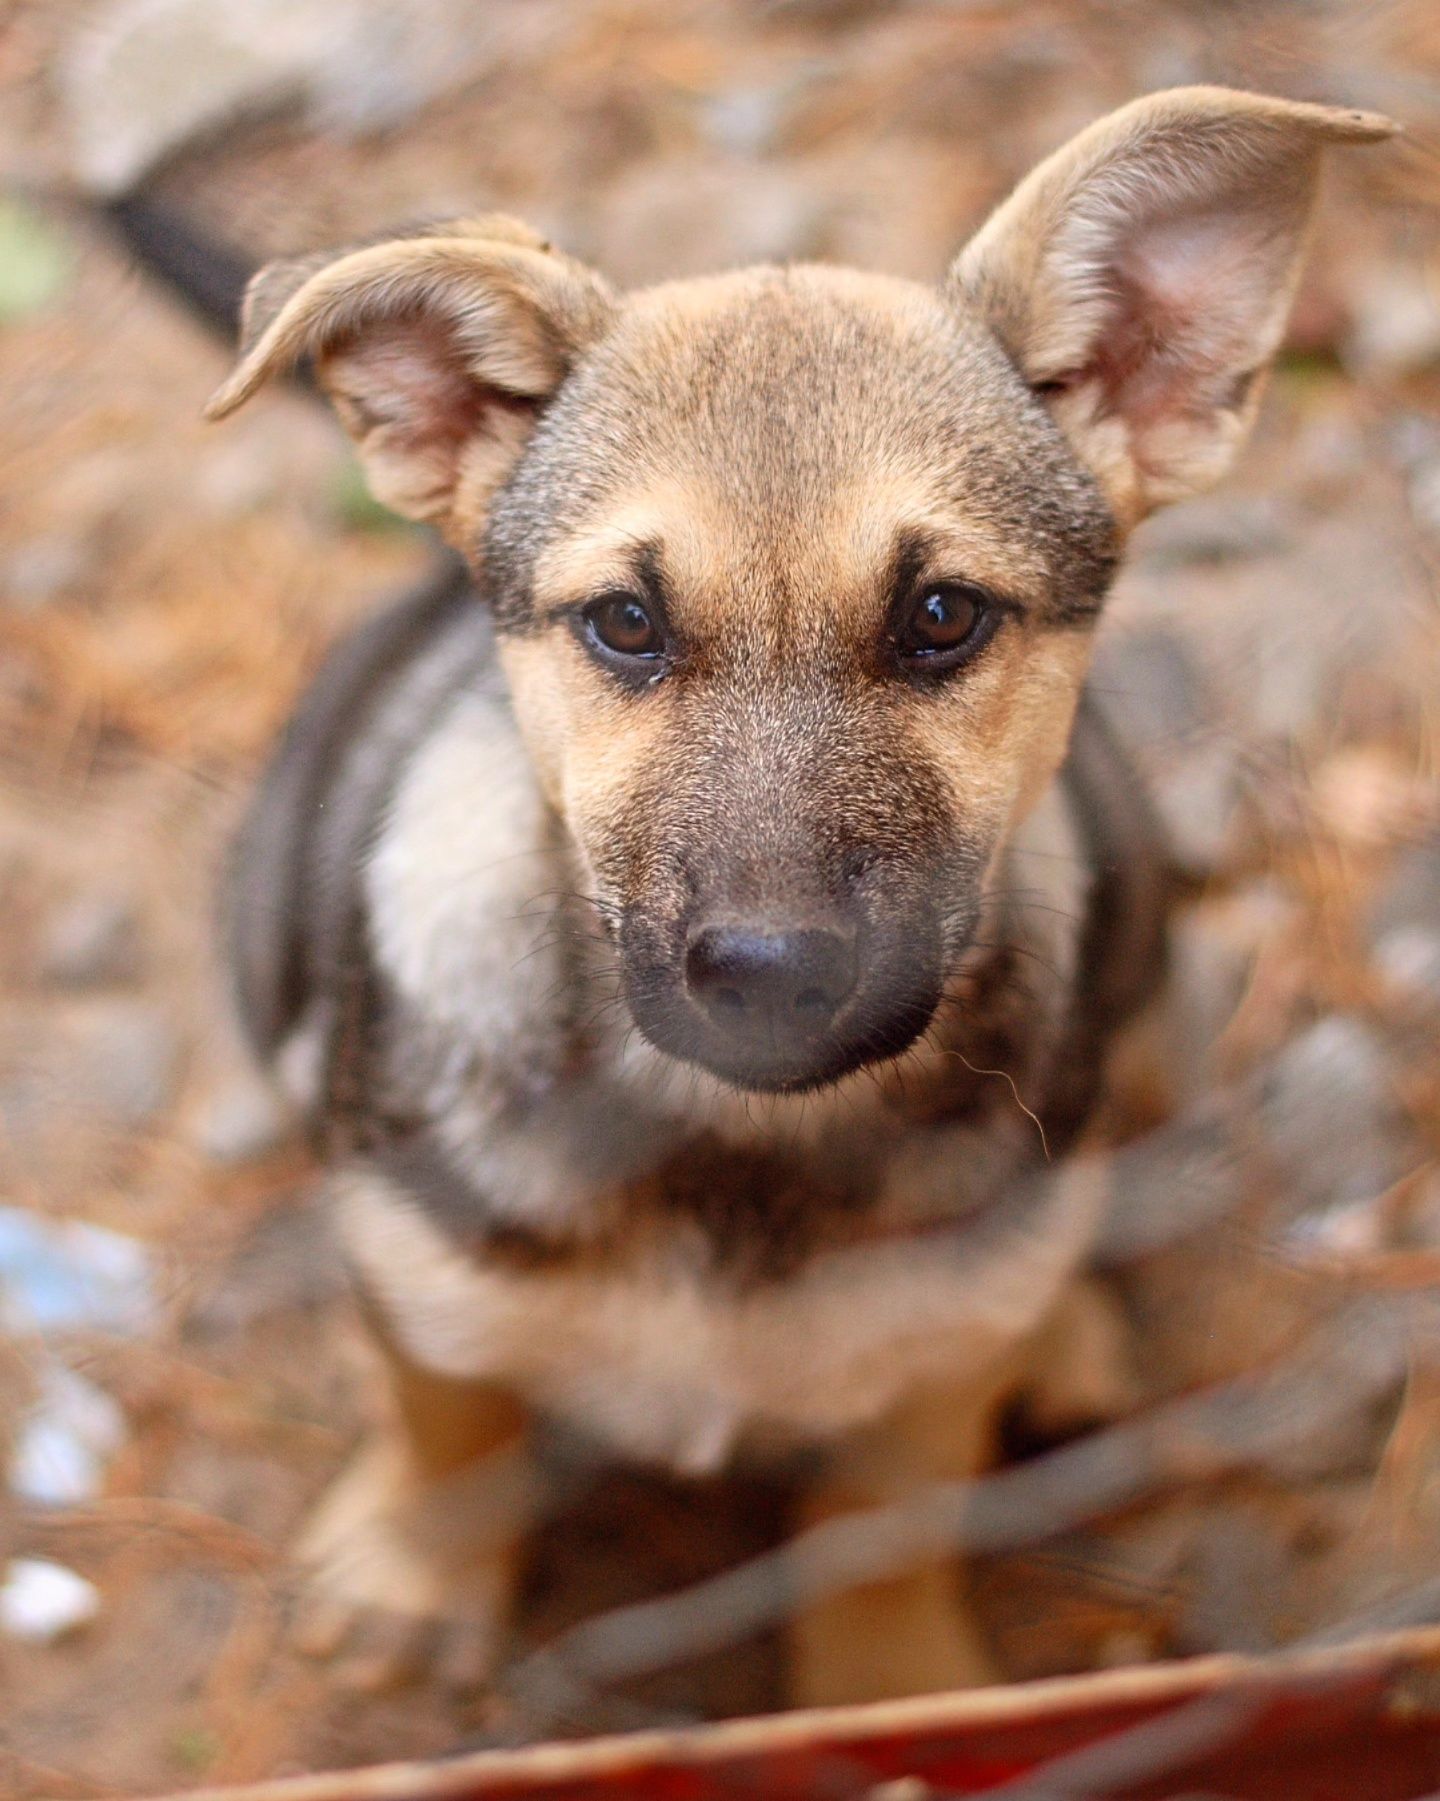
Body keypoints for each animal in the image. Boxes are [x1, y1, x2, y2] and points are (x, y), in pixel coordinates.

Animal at [205, 91, 1396, 1707]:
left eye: (943, 615)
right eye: (624, 624)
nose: (773, 976)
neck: (735, 1155)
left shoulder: (926, 1388)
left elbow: (880, 1525)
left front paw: (889, 1683)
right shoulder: (417, 1260)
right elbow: (450, 1418)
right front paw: (416, 1567)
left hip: (1153, 997)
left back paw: (1069, 1329)